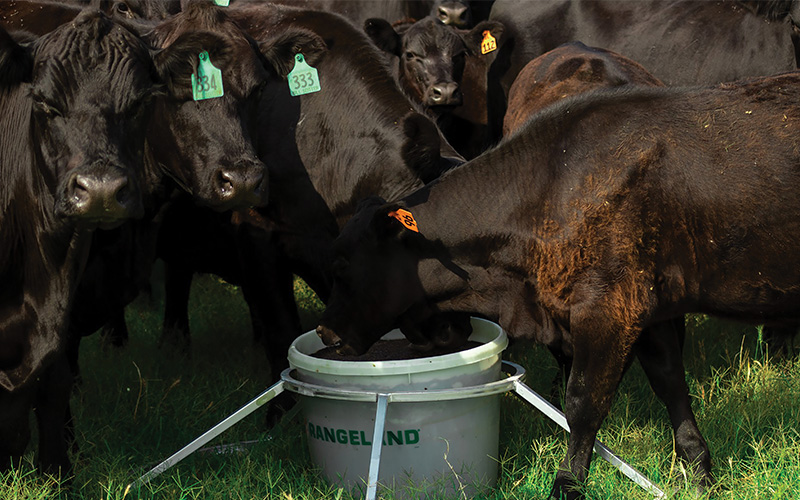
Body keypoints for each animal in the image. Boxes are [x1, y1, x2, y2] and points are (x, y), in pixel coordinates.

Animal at [315, 72, 800, 498]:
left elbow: (582, 404)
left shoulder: (606, 308)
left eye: (342, 265)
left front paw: (567, 483)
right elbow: (671, 385)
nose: (324, 331)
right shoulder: (650, 308)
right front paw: (698, 474)